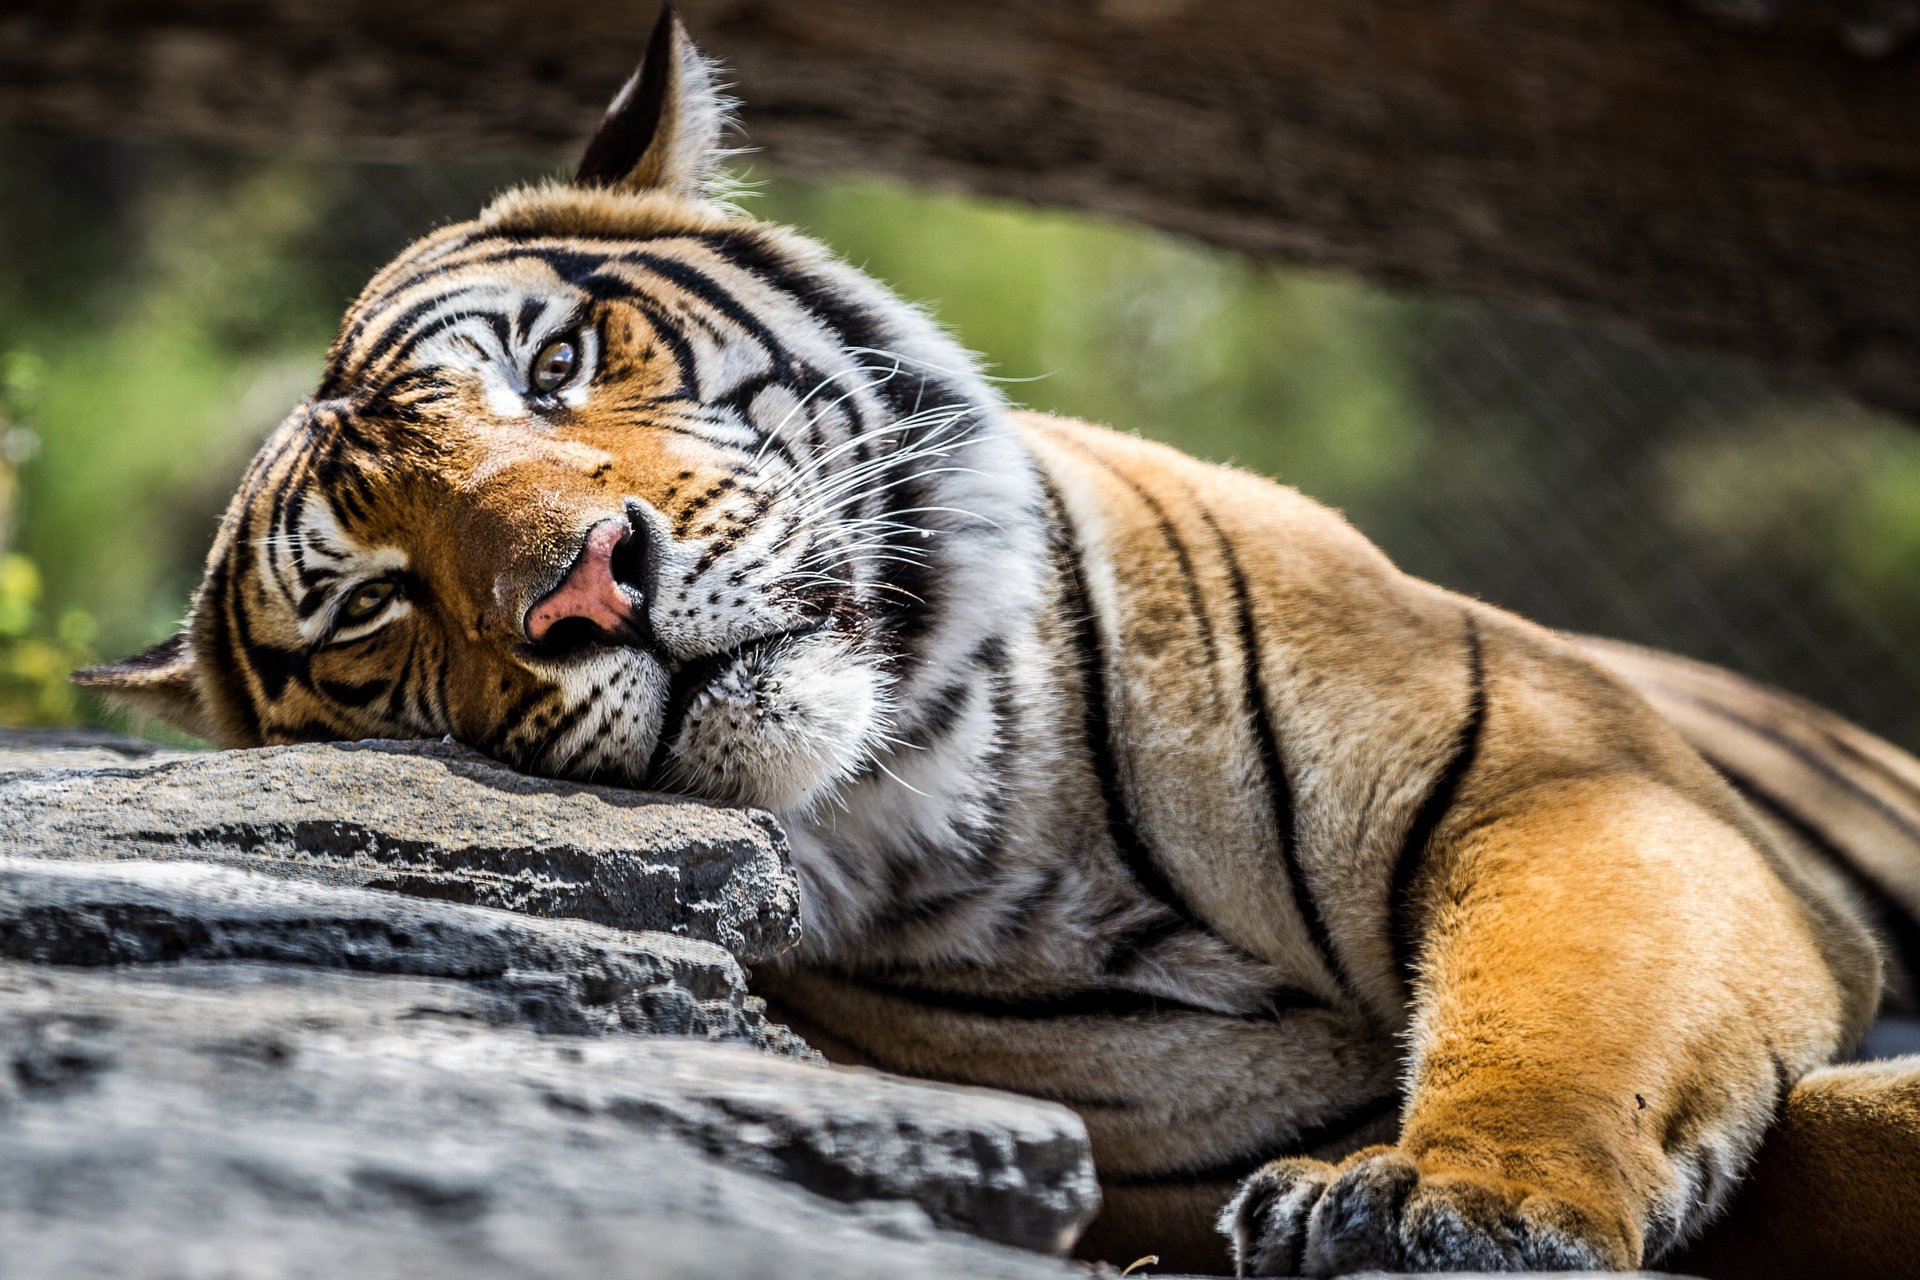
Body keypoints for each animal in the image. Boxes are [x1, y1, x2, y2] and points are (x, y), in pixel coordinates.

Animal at [76, 7, 1920, 1276]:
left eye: (553, 368)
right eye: (378, 600)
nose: (589, 588)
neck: (974, 796)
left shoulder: (1564, 784)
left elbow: (1570, 1011)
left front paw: (1446, 1198)